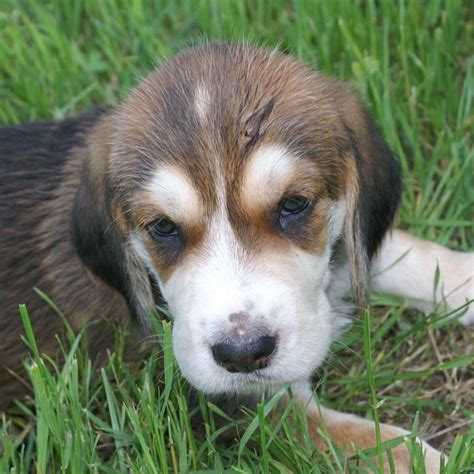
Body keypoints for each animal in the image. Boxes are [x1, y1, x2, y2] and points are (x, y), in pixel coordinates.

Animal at [1, 43, 472, 470]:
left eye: (293, 204)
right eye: (163, 228)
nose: (243, 354)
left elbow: (406, 254)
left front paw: (462, 274)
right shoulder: (242, 406)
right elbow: (375, 444)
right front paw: (435, 461)